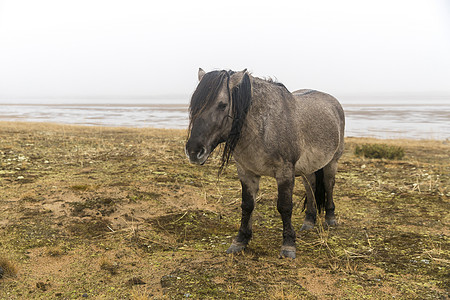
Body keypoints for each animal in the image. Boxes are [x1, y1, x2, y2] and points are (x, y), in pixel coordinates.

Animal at [185, 68, 346, 258]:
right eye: (194, 105)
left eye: (222, 105)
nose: (194, 151)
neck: (263, 127)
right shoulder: (246, 173)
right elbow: (247, 205)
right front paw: (240, 241)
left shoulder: (285, 173)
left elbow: (284, 207)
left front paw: (288, 245)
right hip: (308, 168)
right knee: (311, 187)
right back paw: (309, 221)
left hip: (332, 162)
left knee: (328, 185)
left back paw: (330, 218)